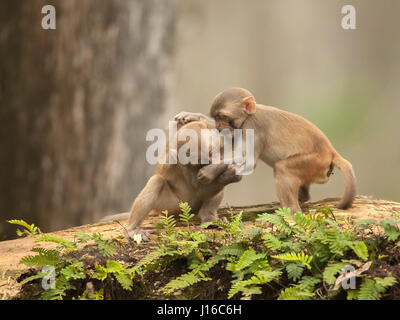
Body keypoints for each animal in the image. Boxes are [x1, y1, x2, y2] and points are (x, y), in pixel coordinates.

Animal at [103, 117, 241, 240]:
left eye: (212, 153)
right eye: (202, 161)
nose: (212, 162)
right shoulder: (178, 161)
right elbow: (199, 189)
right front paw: (229, 173)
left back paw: (208, 218)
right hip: (171, 207)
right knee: (157, 181)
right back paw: (132, 229)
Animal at [175, 86, 356, 214]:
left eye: (223, 117)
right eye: (216, 117)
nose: (219, 126)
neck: (249, 115)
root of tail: (330, 151)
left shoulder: (254, 127)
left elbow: (249, 161)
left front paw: (210, 171)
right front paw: (193, 116)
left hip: (313, 161)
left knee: (282, 167)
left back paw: (291, 211)